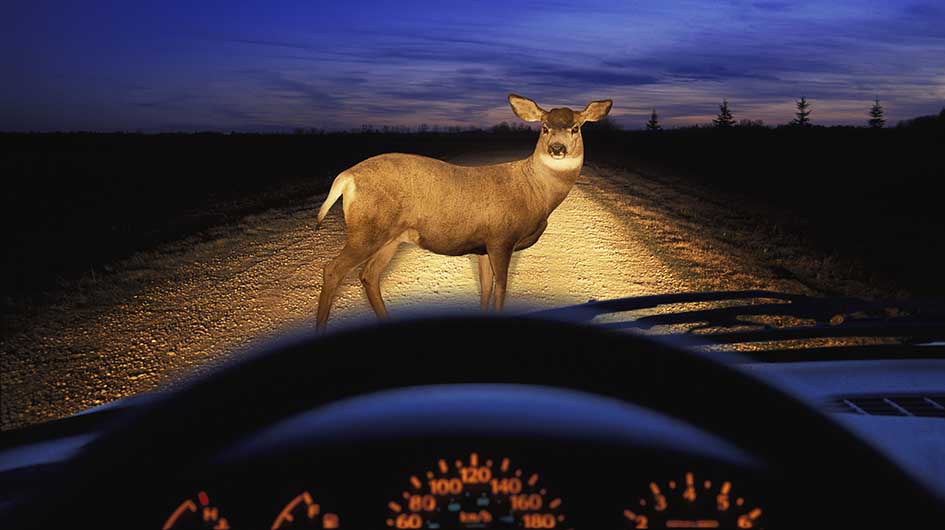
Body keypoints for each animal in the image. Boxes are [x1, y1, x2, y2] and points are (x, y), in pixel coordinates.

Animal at [314, 93, 613, 330]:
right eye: (544, 127)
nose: (557, 149)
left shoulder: (483, 245)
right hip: (367, 230)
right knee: (333, 270)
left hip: (391, 237)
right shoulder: (501, 238)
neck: (535, 192)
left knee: (369, 275)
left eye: (575, 128)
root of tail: (346, 177)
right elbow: (501, 289)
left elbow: (486, 288)